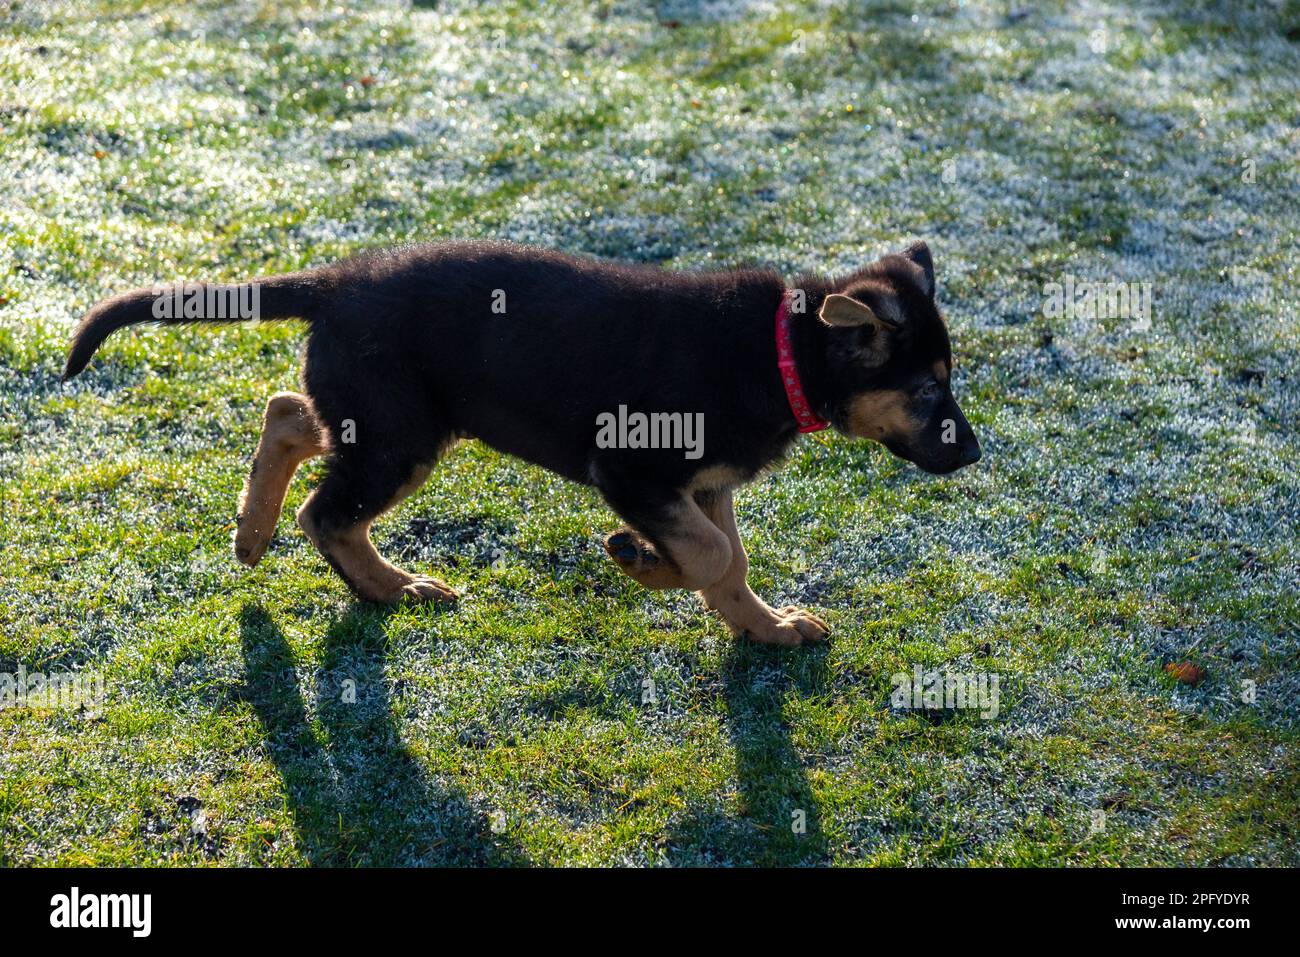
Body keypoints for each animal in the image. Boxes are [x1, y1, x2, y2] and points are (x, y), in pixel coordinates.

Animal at [61, 239, 977, 647]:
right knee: (328, 513)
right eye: (929, 391)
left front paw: (767, 627)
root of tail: (337, 281)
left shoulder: (703, 483)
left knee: (288, 411)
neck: (782, 350)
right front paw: (642, 561)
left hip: (380, 418)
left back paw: (252, 534)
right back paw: (391, 588)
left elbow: (729, 561)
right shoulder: (633, 469)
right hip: (402, 435)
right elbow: (712, 555)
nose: (973, 455)